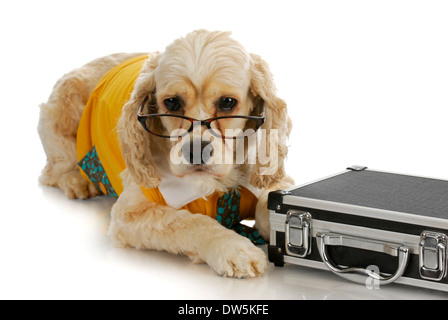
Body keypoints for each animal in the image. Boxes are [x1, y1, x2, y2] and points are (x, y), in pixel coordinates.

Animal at [38, 31, 294, 278]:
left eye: (227, 102)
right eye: (171, 102)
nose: (196, 151)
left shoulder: (275, 182)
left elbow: (268, 203)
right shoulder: (129, 214)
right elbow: (192, 222)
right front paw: (234, 248)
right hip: (60, 110)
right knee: (54, 168)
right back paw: (77, 180)